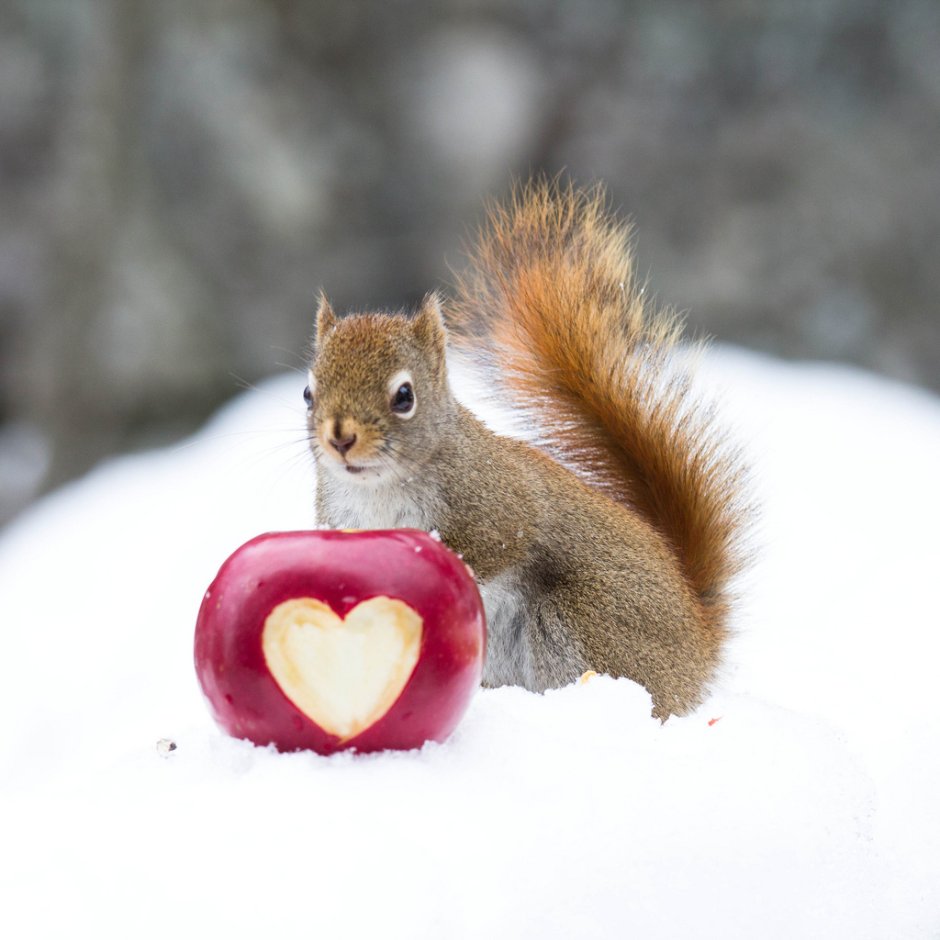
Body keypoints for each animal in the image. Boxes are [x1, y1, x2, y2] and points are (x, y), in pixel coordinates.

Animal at [306, 180, 748, 716]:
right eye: (308, 394)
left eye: (404, 396)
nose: (341, 438)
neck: (379, 490)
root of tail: (698, 649)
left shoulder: (502, 505)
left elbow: (497, 545)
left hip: (581, 622)